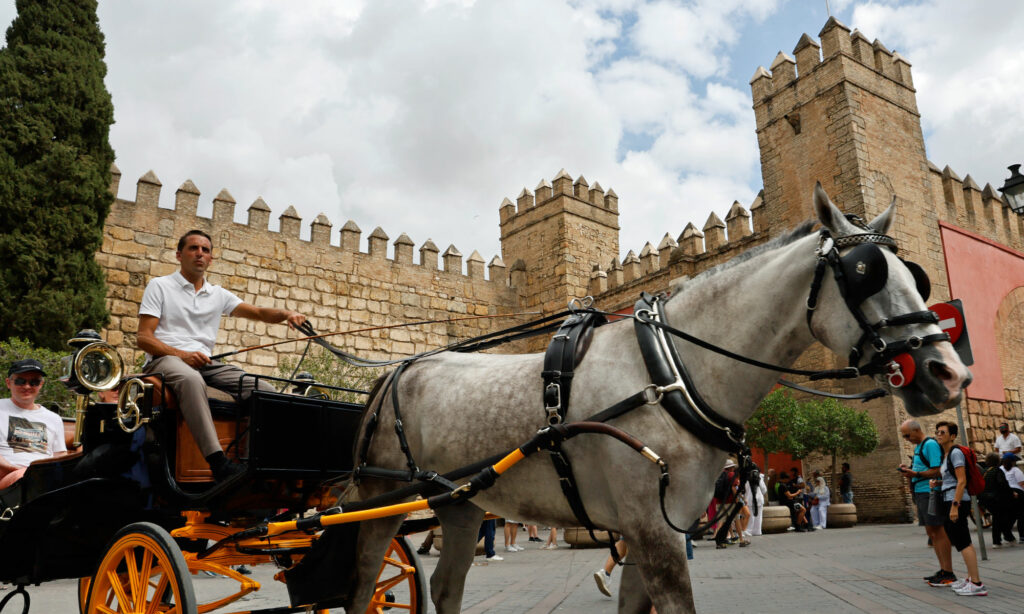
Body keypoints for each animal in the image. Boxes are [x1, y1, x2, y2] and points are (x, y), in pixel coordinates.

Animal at [342, 186, 966, 614]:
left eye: (918, 276)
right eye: (865, 271)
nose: (950, 373)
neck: (671, 371)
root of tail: (396, 370)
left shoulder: (657, 526)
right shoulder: (652, 530)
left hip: (461, 505)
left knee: (446, 588)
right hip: (380, 502)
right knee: (362, 585)